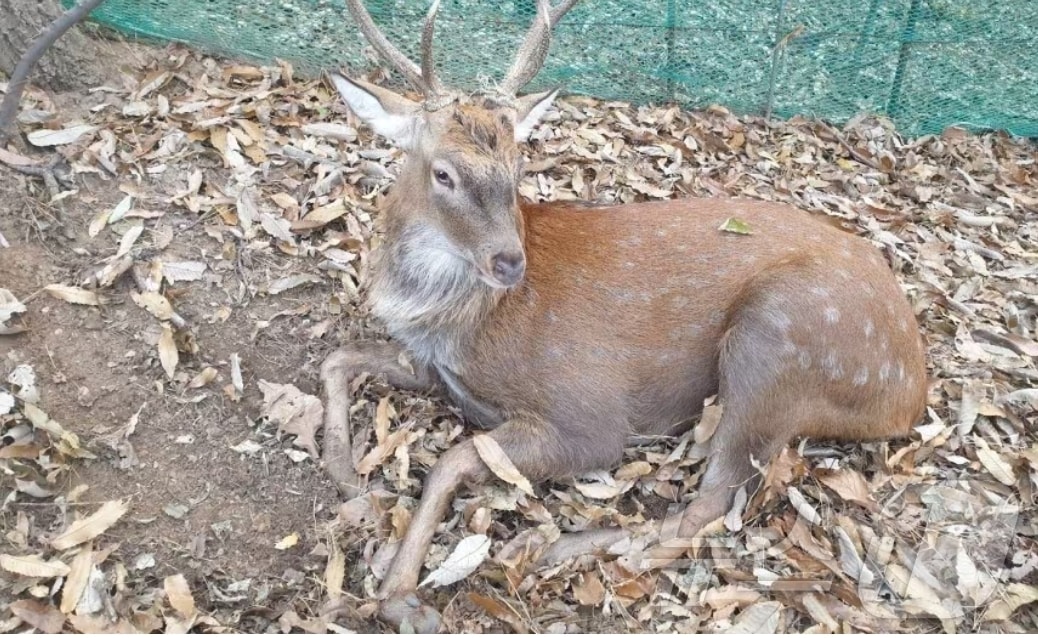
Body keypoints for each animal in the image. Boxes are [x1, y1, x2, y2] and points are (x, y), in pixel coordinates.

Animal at [319, 0, 930, 630]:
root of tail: (911, 391)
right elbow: (337, 357)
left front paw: (401, 594)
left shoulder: (588, 413)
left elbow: (453, 459)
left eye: (518, 167)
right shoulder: (434, 366)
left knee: (712, 503)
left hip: (782, 338)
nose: (510, 261)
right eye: (444, 172)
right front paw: (346, 475)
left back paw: (545, 546)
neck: (458, 322)